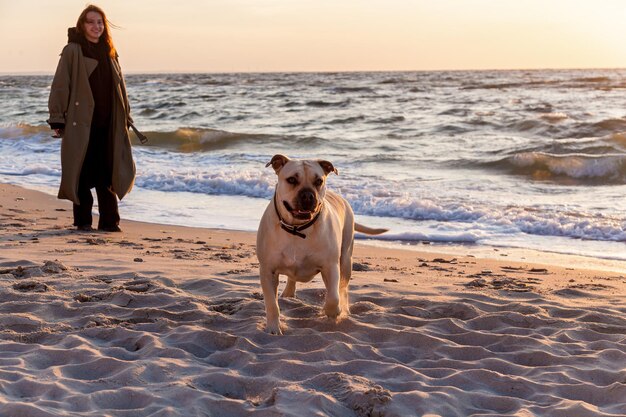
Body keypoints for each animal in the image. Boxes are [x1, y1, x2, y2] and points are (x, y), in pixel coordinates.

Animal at [255, 154, 386, 334]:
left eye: (319, 181)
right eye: (291, 180)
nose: (308, 195)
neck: (297, 228)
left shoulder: (331, 266)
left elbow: (333, 297)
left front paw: (334, 312)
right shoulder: (268, 271)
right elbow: (272, 305)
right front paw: (273, 328)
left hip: (346, 259)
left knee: (343, 289)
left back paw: (345, 309)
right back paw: (288, 293)